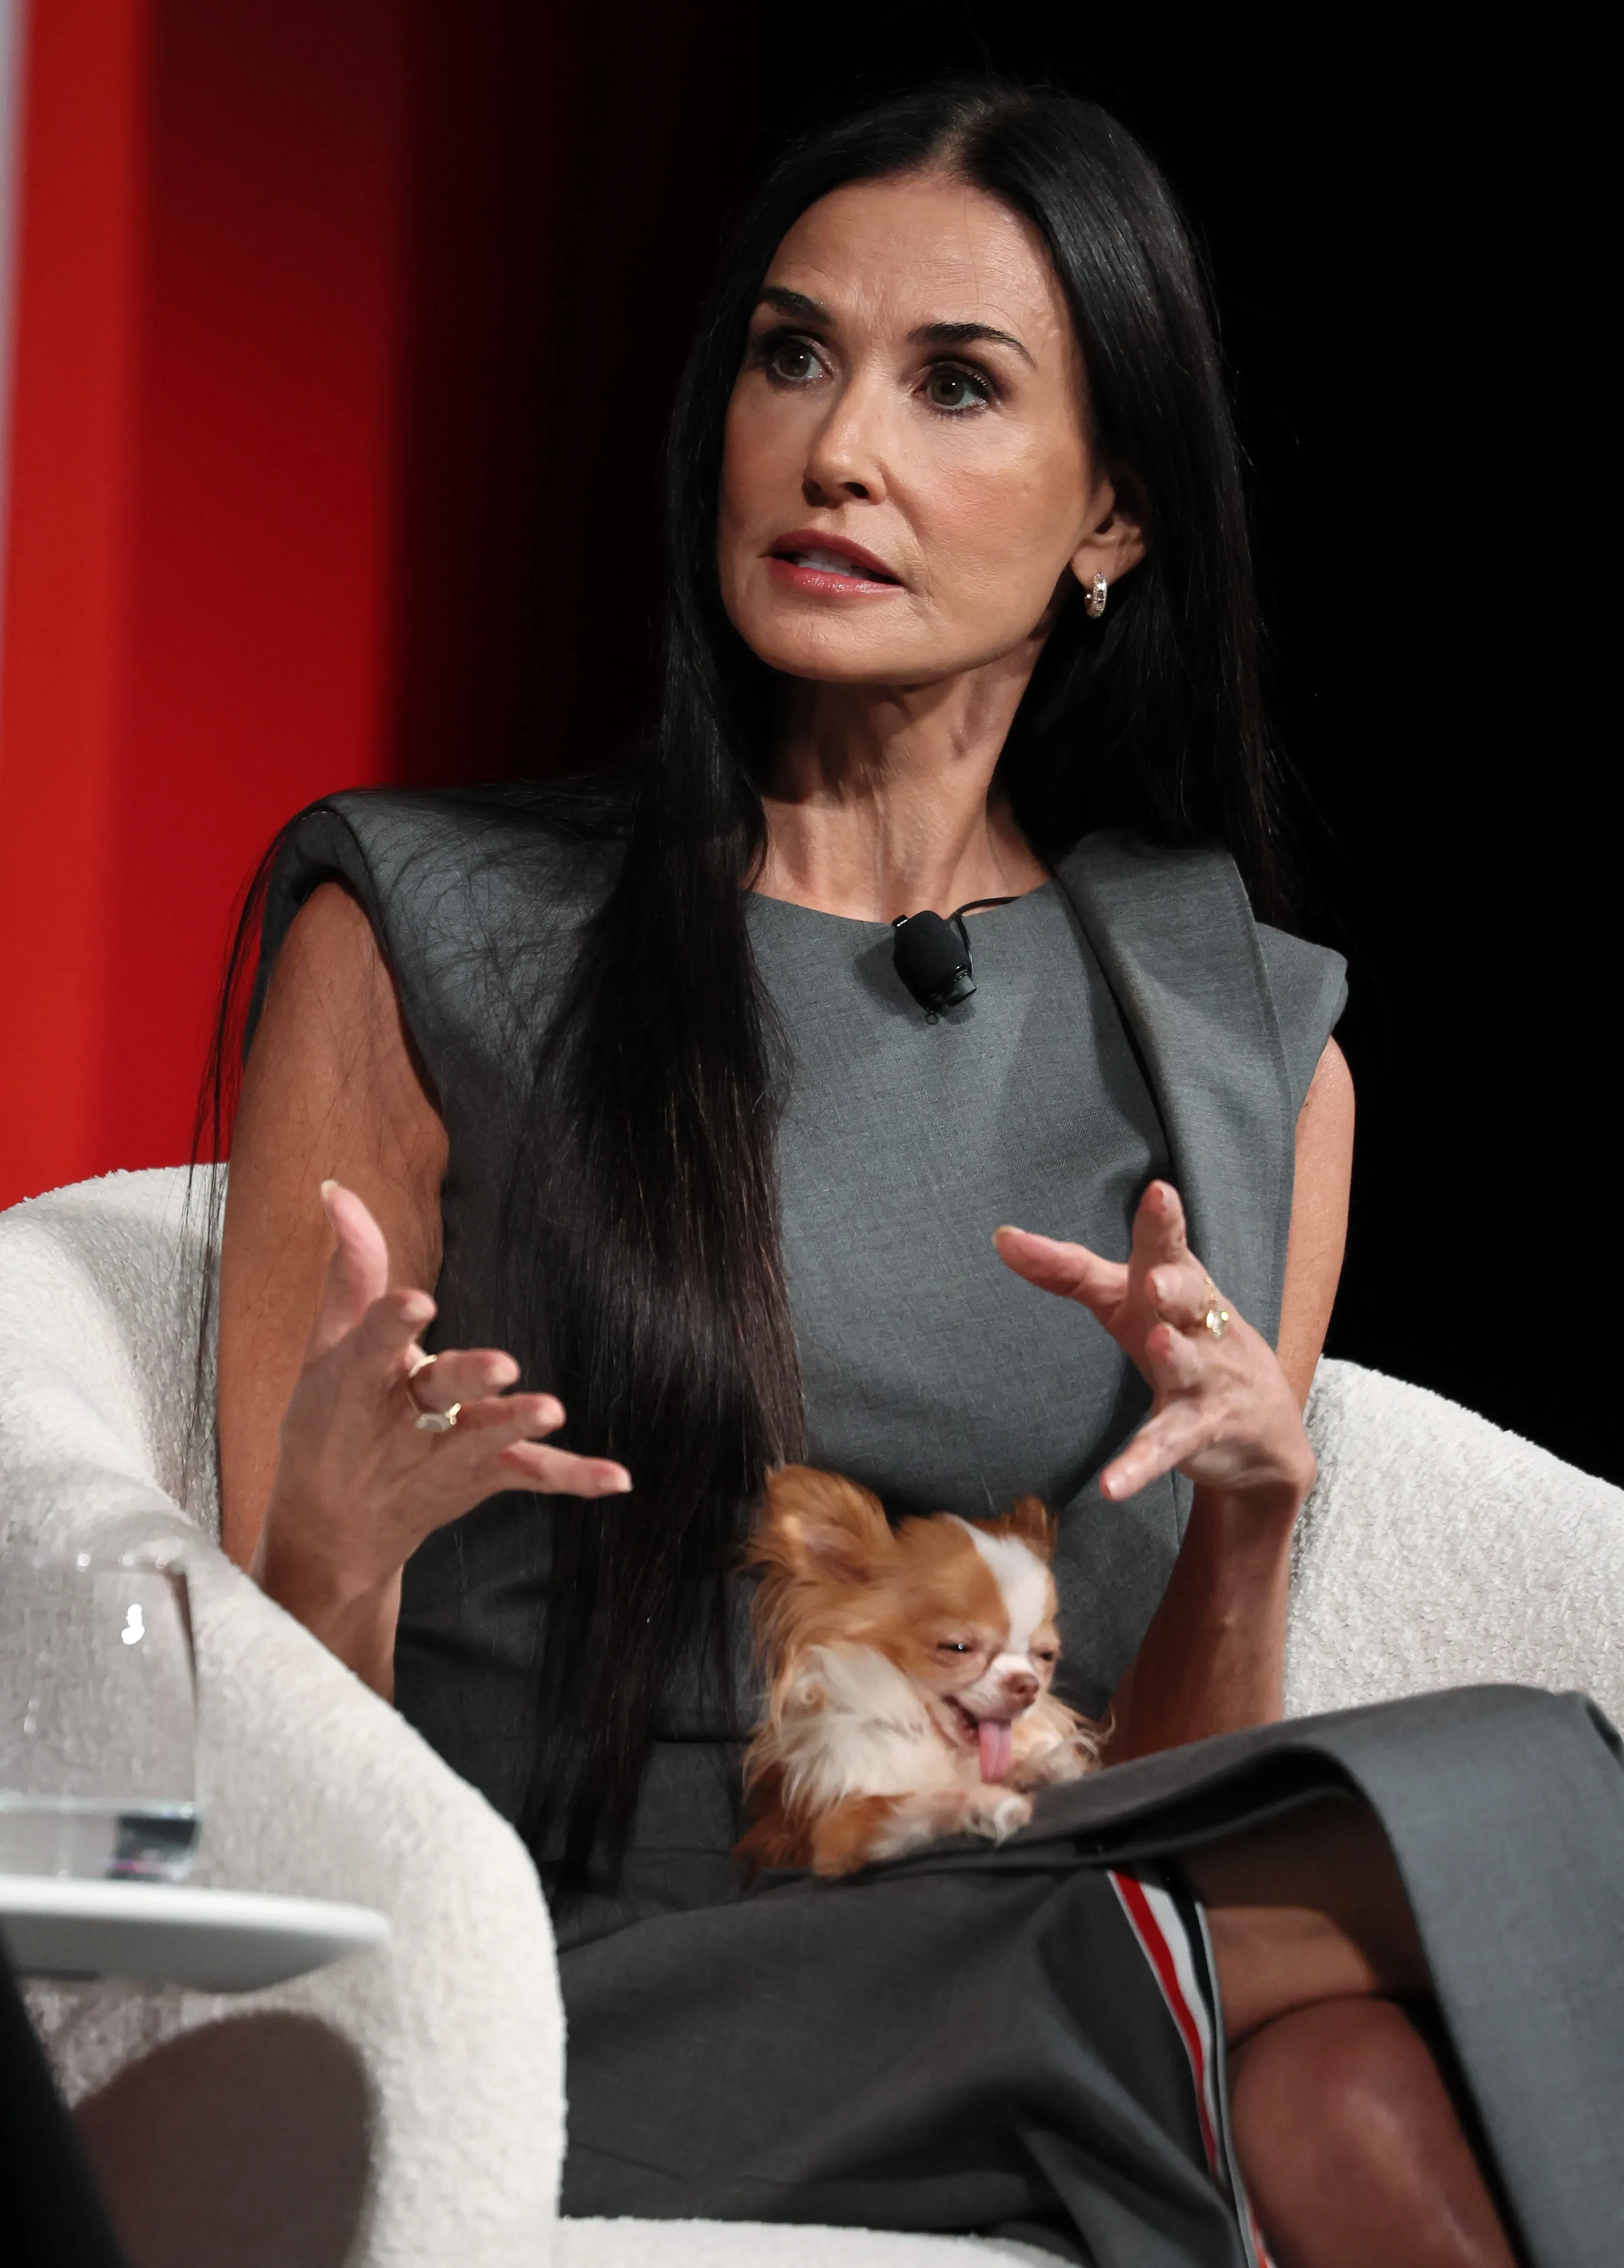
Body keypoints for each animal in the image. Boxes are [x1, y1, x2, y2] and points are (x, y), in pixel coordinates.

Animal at [736, 1464, 1101, 1878]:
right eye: (957, 1648)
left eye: (1046, 1656)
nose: (1028, 1685)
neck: (939, 1744)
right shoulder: (836, 1836)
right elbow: (907, 1805)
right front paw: (983, 1804)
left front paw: (1043, 1766)